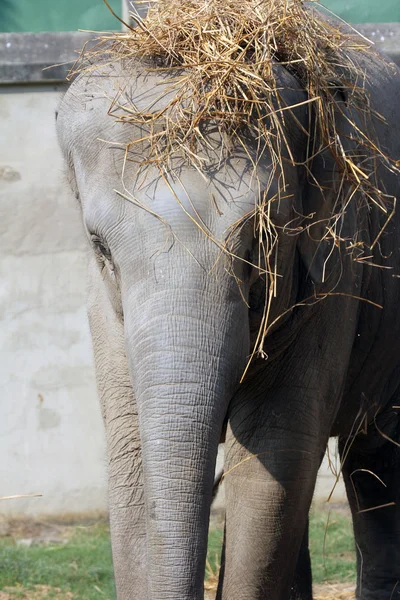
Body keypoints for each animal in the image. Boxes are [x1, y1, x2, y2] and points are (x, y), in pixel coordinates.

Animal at [56, 10, 400, 600]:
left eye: (258, 245)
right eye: (100, 248)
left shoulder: (334, 271)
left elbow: (272, 456)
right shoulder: (105, 313)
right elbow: (131, 459)